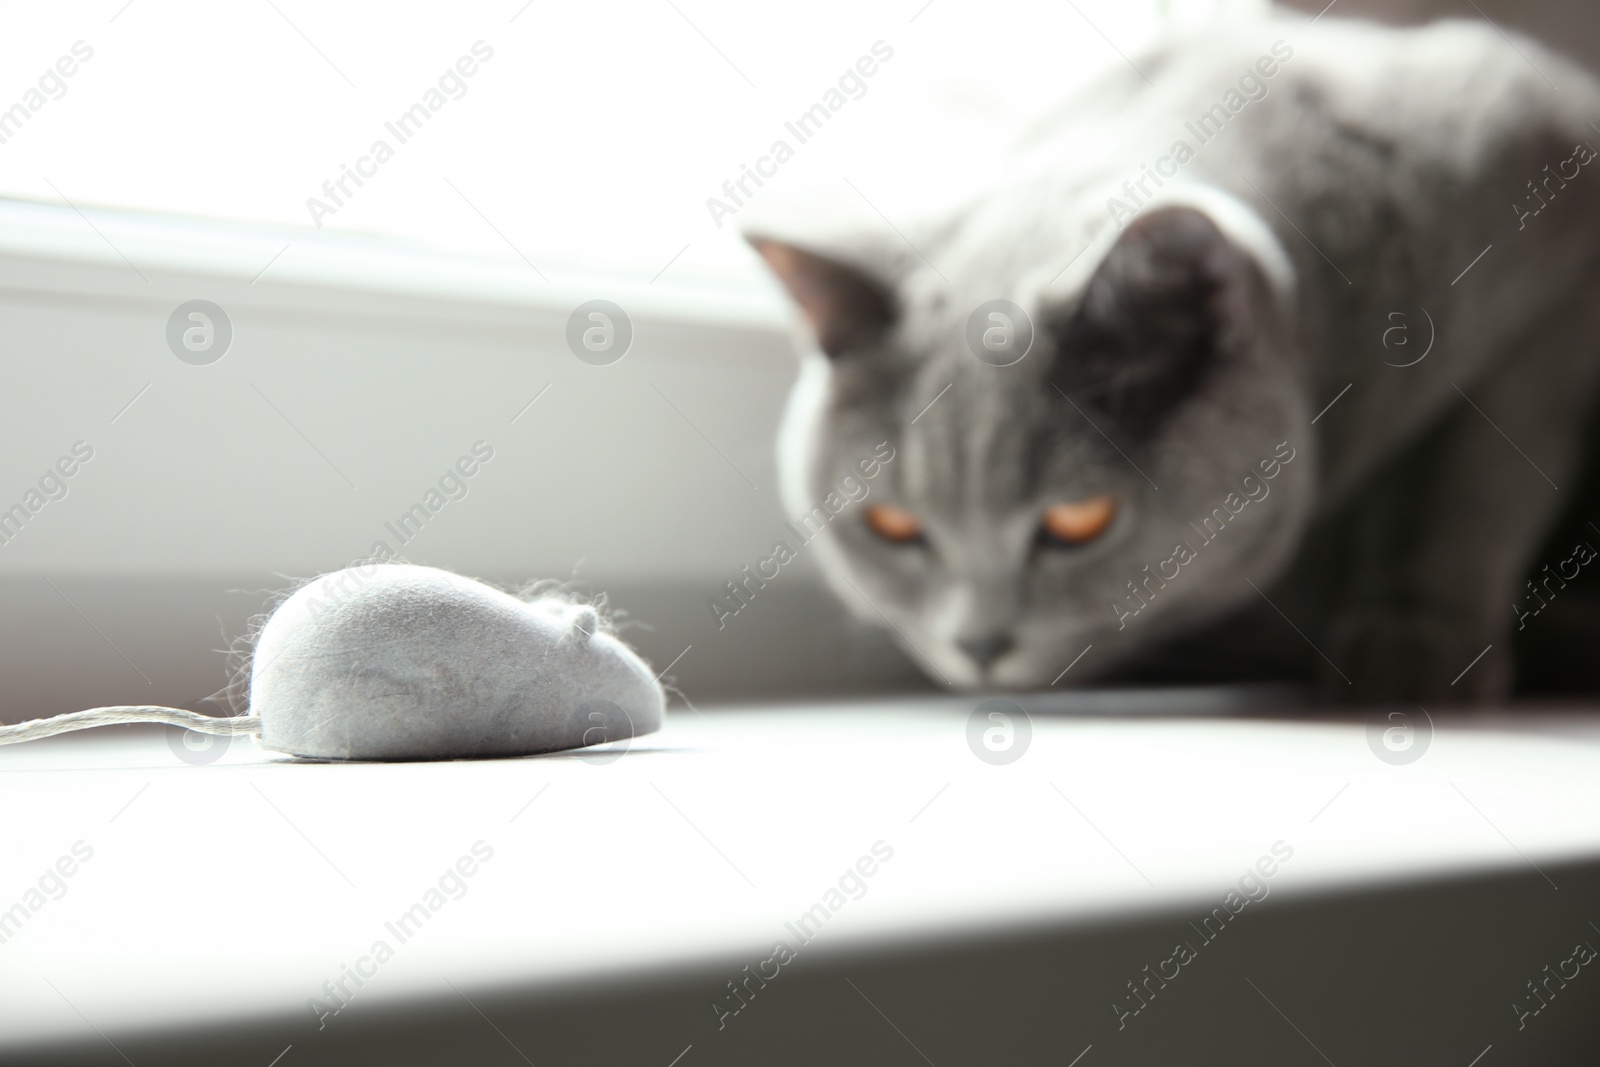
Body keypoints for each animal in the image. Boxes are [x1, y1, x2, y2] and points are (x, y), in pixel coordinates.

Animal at [742, 16, 1600, 703]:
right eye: (891, 525)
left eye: (1078, 521)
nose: (978, 645)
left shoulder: (1549, 275)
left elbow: (1463, 491)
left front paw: (1413, 653)